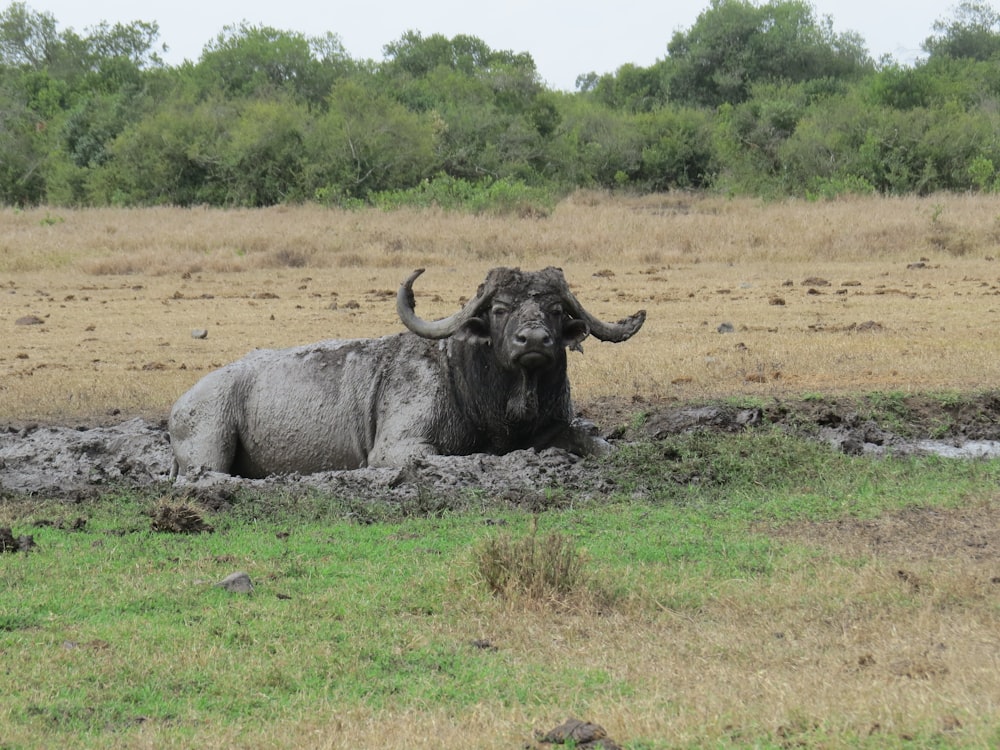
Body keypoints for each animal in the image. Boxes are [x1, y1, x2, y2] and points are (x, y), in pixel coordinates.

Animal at [168, 270, 644, 478]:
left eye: (556, 309)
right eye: (499, 309)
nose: (534, 341)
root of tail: (181, 403)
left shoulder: (555, 427)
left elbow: (592, 443)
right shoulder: (397, 448)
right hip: (208, 446)